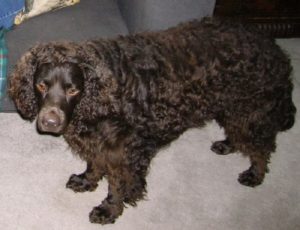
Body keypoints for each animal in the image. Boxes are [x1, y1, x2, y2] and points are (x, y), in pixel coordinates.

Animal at [8, 17, 296, 225]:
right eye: (41, 85)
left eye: (73, 90)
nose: (50, 122)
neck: (104, 94)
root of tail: (272, 44)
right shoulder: (99, 141)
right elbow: (95, 164)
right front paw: (86, 181)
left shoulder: (125, 151)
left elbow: (118, 185)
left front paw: (109, 210)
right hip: (230, 106)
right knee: (240, 134)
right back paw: (227, 145)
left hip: (250, 109)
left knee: (261, 147)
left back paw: (255, 174)